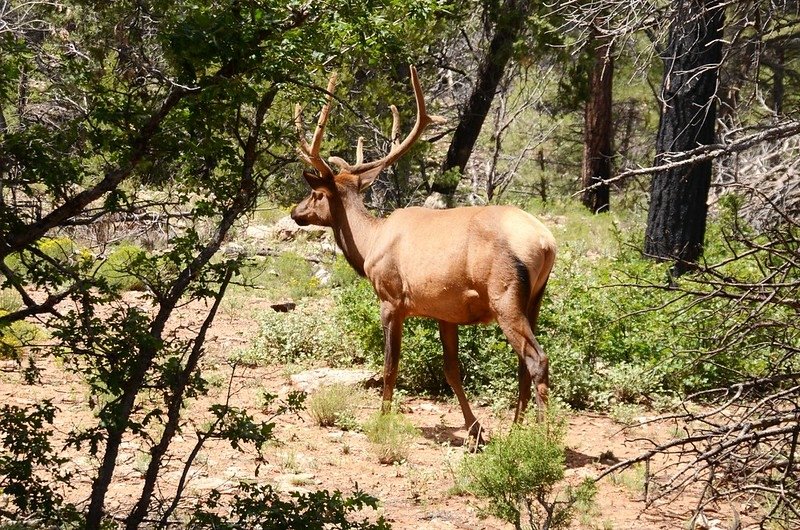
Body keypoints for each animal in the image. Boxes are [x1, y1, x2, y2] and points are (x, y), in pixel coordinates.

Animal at [292, 66, 556, 438]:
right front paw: (474, 429)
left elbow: (390, 365)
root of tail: (546, 243)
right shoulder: (446, 311)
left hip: (504, 294)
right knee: (522, 362)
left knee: (536, 358)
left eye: (315, 195)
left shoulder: (390, 298)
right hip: (535, 297)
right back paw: (515, 430)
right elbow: (451, 370)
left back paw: (543, 438)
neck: (369, 245)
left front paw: (383, 419)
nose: (295, 212)